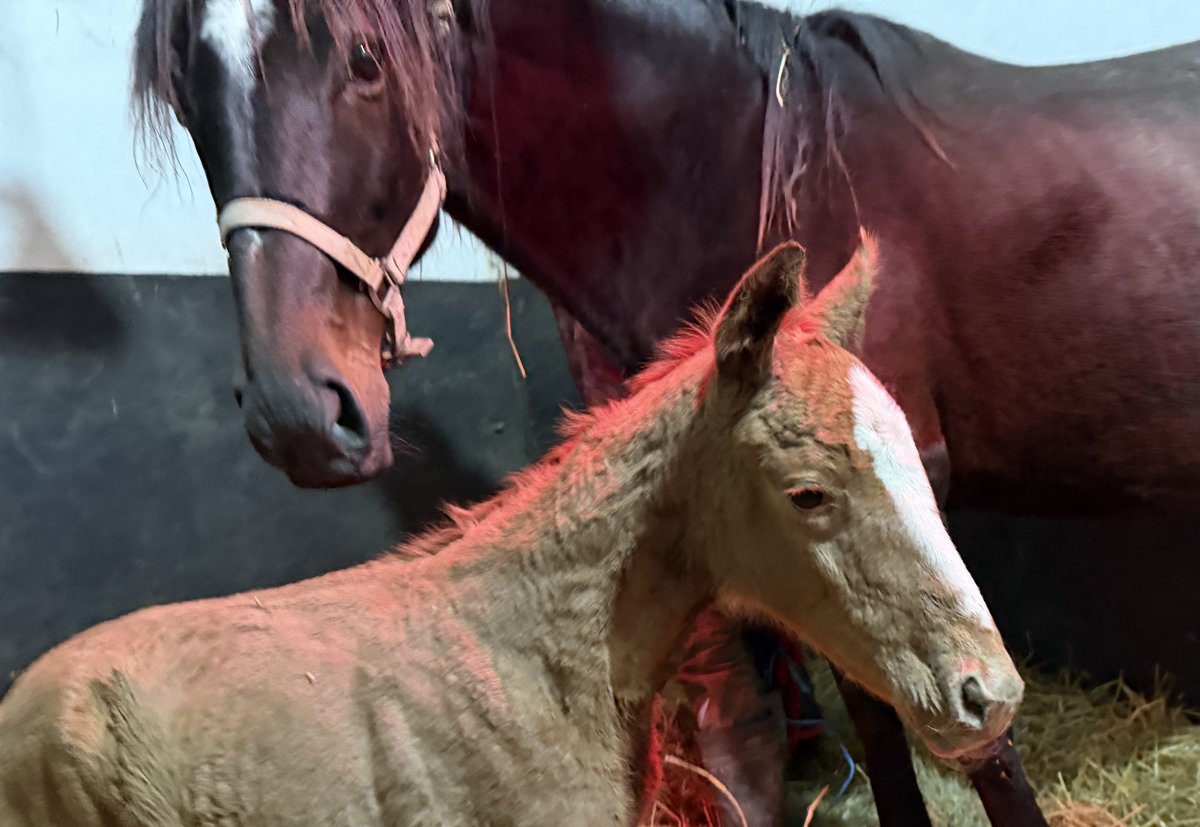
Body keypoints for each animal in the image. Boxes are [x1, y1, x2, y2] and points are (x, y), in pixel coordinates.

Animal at [130, 0, 1200, 823]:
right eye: (185, 93)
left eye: (364, 59)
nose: (297, 410)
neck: (745, 167)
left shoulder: (899, 489)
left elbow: (980, 746)